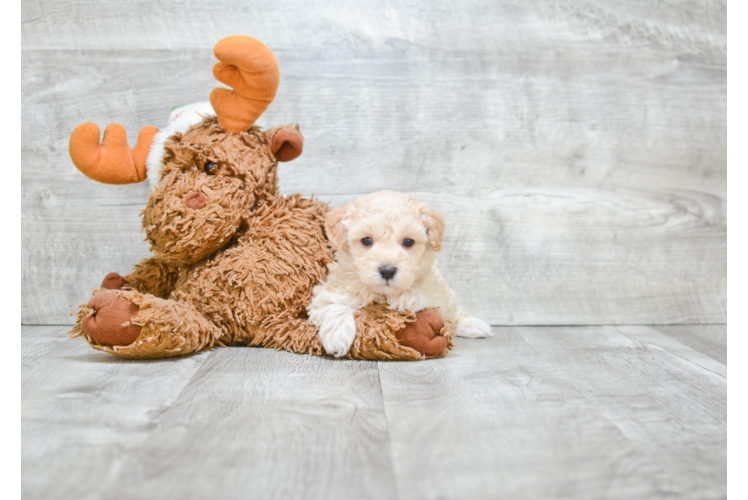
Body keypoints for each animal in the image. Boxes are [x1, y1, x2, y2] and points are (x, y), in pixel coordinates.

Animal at [306, 189, 494, 358]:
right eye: (366, 240)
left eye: (408, 242)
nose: (387, 271)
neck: (382, 294)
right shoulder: (326, 292)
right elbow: (334, 303)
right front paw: (337, 335)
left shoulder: (436, 291)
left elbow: (427, 296)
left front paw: (407, 297)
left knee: (454, 312)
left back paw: (473, 325)